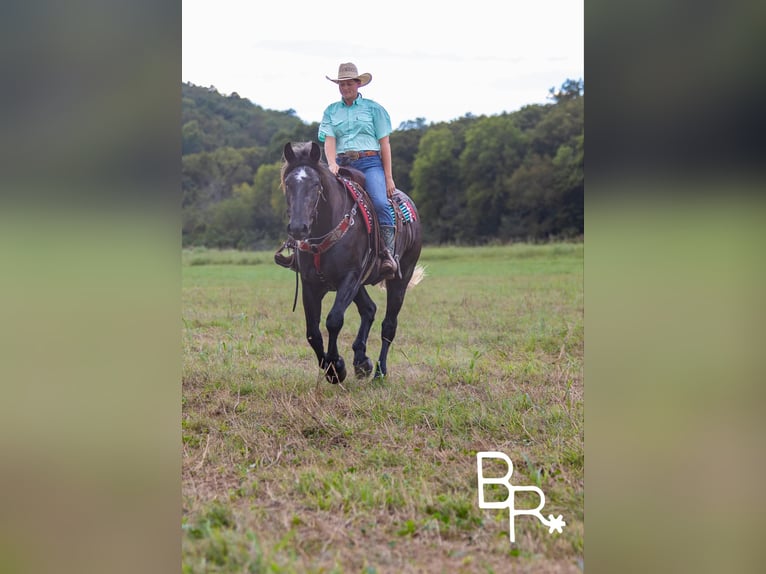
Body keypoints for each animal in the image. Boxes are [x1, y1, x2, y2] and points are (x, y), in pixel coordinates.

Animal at [280, 142, 426, 384]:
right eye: (288, 184)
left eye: (316, 184)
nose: (298, 228)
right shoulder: (311, 284)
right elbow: (312, 332)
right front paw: (334, 366)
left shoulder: (349, 278)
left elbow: (334, 320)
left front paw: (336, 368)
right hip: (359, 285)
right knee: (369, 309)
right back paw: (361, 361)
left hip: (401, 277)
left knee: (389, 325)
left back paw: (379, 371)